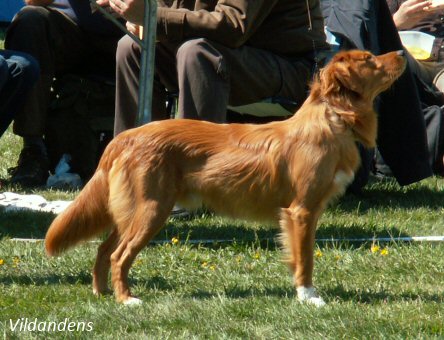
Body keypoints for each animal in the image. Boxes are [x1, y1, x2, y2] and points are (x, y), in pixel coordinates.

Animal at [44, 49, 406, 306]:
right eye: (369, 59)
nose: (403, 53)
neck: (332, 119)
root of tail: (125, 136)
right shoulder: (301, 210)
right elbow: (305, 258)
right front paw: (309, 297)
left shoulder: (305, 213)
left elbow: (298, 254)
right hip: (151, 209)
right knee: (119, 255)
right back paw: (127, 299)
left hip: (130, 210)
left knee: (104, 249)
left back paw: (101, 293)